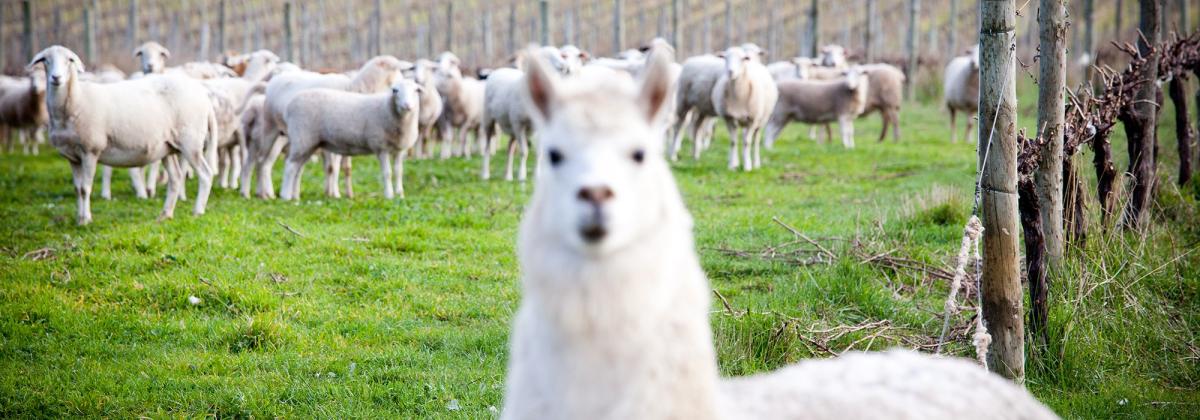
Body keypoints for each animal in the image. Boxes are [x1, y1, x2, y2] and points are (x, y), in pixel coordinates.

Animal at [29, 45, 218, 224]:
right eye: (45, 60)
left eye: (70, 60)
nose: (56, 78)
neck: (76, 100)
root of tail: (204, 97)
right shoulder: (72, 157)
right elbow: (77, 189)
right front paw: (79, 218)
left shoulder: (90, 151)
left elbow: (85, 188)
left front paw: (85, 220)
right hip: (168, 147)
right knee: (176, 178)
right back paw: (165, 214)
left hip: (191, 142)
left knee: (205, 174)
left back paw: (197, 211)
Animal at [277, 79, 422, 200]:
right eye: (395, 90)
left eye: (416, 90)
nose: (407, 105)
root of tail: (289, 106)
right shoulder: (381, 147)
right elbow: (387, 173)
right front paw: (389, 195)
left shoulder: (399, 149)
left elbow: (398, 172)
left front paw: (400, 194)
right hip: (302, 137)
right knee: (290, 165)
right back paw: (285, 196)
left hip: (309, 143)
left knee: (298, 168)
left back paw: (295, 196)